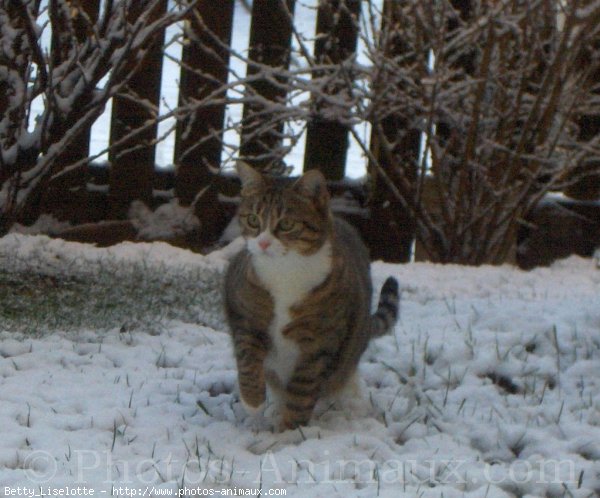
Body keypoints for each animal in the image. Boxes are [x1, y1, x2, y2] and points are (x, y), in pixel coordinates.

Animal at [221, 162, 398, 432]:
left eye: (285, 224)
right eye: (253, 220)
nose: (262, 243)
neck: (285, 273)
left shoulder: (319, 342)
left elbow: (302, 392)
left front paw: (287, 433)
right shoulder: (245, 316)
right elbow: (247, 357)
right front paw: (253, 401)